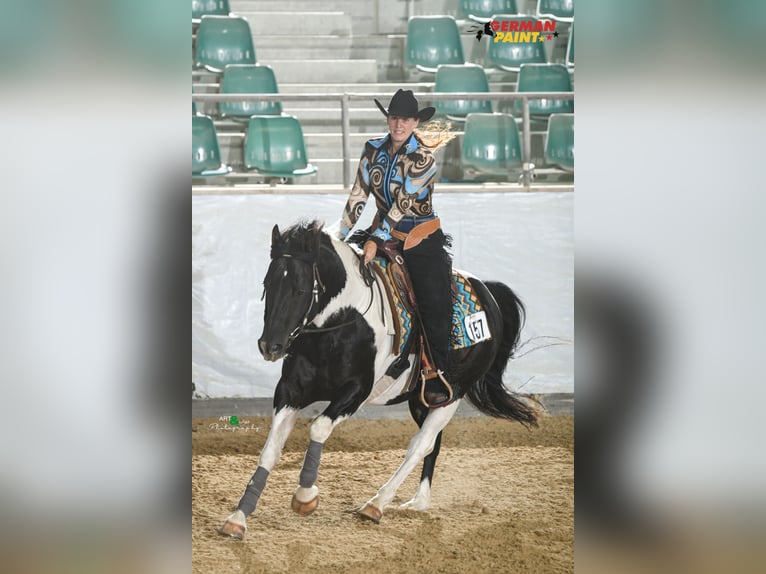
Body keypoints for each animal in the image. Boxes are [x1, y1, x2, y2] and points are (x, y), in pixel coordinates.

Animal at [217, 220, 539, 539]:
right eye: (267, 284)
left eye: (299, 289)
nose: (269, 346)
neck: (341, 321)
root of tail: (488, 293)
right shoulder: (289, 391)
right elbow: (270, 449)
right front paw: (238, 518)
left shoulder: (355, 392)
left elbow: (319, 427)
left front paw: (305, 496)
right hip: (423, 400)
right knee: (432, 442)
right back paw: (418, 501)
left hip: (453, 393)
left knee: (420, 444)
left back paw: (376, 504)